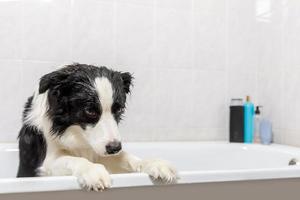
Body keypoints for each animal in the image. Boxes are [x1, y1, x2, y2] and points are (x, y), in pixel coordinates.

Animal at [17, 63, 177, 191]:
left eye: (119, 109)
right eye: (90, 111)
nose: (115, 148)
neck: (75, 133)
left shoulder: (102, 150)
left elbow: (127, 158)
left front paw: (154, 163)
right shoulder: (47, 161)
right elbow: (73, 159)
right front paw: (93, 171)